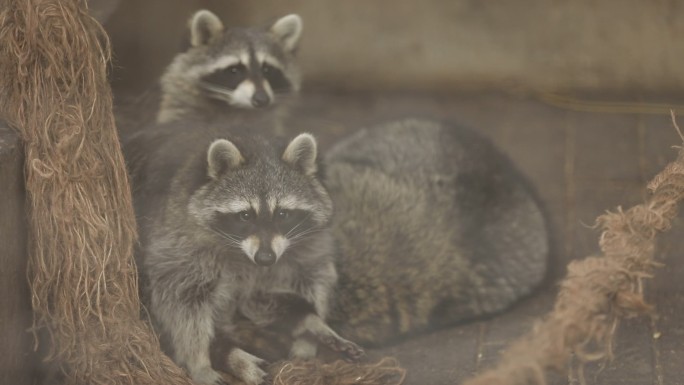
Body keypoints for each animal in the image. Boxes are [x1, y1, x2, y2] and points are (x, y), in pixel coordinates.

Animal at [126, 121, 366, 384]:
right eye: (245, 216)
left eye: (282, 214)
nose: (265, 258)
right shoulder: (176, 241)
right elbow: (181, 301)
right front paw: (198, 359)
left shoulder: (303, 246)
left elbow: (309, 278)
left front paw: (310, 324)